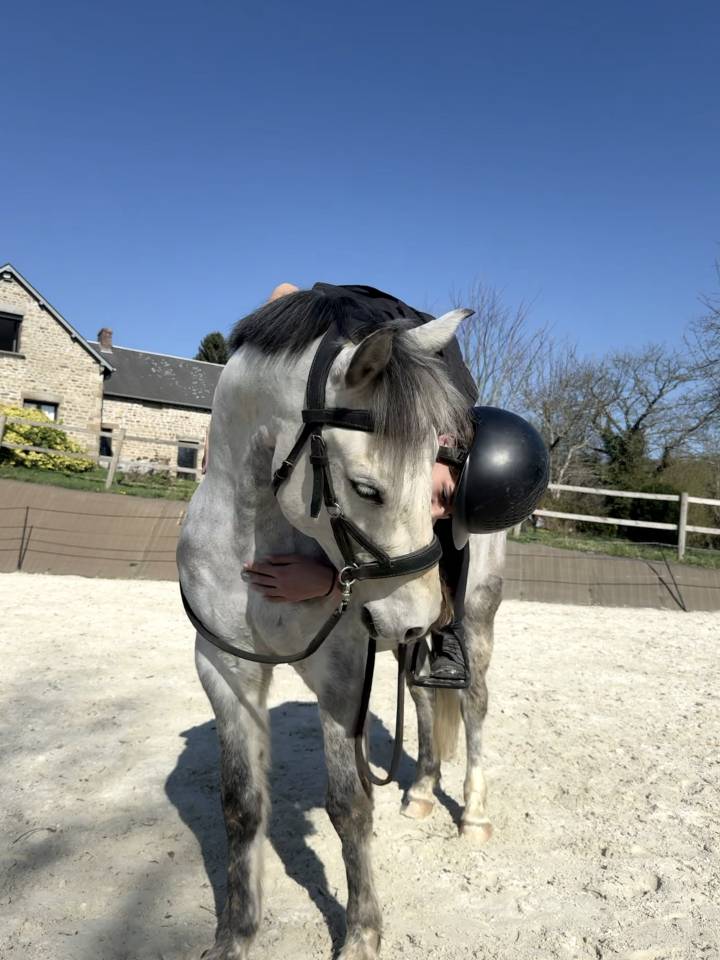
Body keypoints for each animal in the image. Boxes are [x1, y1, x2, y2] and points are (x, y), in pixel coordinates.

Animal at [177, 287, 505, 960]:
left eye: (434, 480)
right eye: (366, 488)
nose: (418, 614)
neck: (256, 539)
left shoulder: (341, 677)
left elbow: (350, 805)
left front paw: (361, 933)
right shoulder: (225, 671)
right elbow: (241, 805)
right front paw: (237, 934)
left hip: (474, 624)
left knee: (475, 708)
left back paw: (474, 815)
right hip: (409, 650)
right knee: (424, 704)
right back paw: (422, 793)